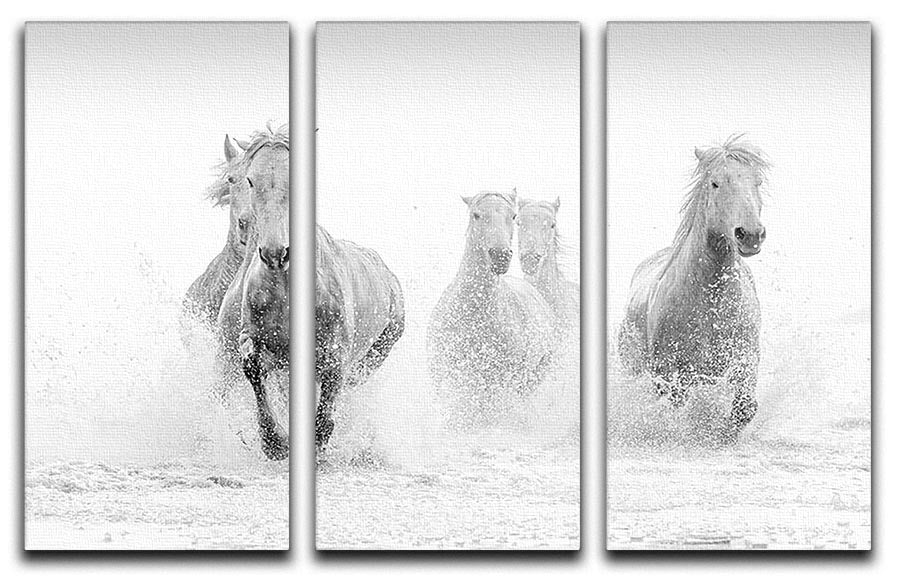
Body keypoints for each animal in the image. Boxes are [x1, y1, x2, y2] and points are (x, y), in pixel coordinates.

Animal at [617, 135, 769, 436]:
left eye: (757, 181)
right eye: (715, 183)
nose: (749, 235)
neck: (711, 305)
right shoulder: (668, 372)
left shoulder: (744, 356)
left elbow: (744, 409)